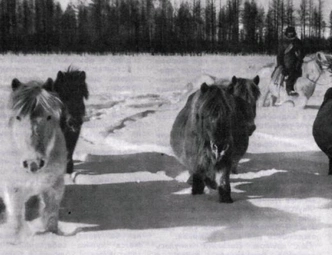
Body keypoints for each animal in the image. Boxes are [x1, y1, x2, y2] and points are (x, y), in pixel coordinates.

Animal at [0, 78, 67, 243]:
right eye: (18, 117)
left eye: (49, 117)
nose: (33, 163)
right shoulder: (13, 188)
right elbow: (17, 219)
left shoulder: (54, 186)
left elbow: (51, 216)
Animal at [171, 75, 260, 203]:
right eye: (206, 114)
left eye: (229, 113)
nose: (220, 145)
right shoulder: (196, 162)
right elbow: (200, 178)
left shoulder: (226, 159)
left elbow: (223, 180)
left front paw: (226, 198)